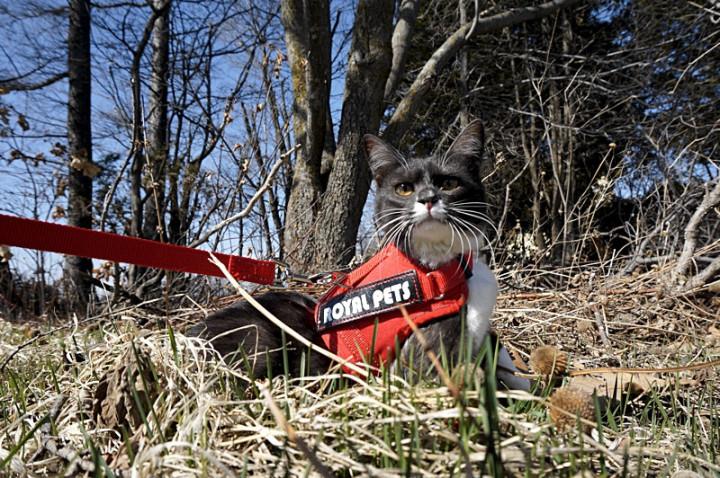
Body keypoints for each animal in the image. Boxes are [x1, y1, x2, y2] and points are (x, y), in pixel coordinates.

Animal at [188, 120, 529, 390]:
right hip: (261, 335)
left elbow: (496, 350)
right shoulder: (423, 356)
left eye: (448, 183)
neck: (438, 267)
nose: (428, 198)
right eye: (404, 188)